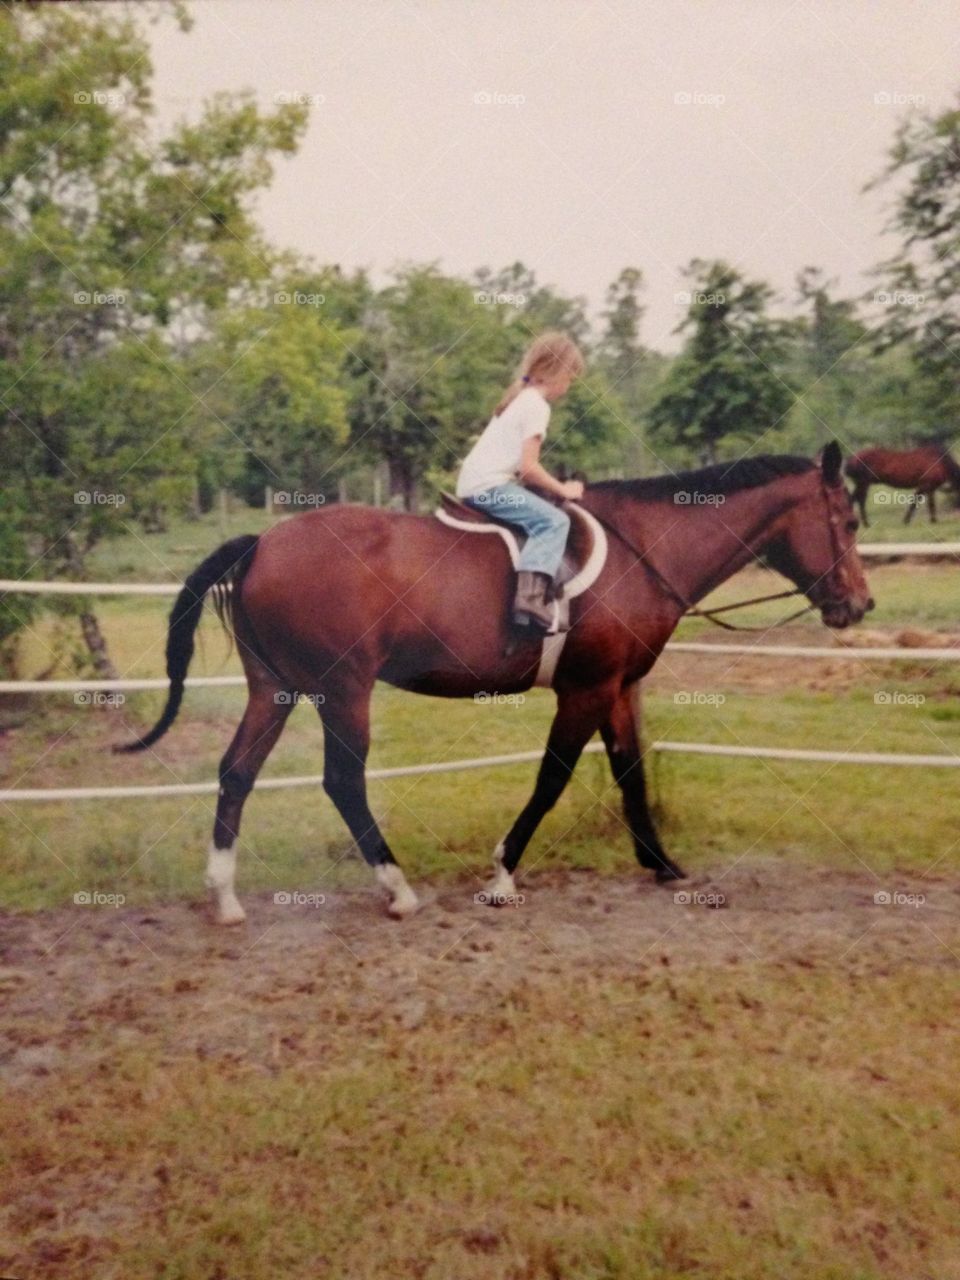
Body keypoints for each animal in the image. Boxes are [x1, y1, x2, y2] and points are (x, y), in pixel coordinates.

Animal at [116, 444, 872, 924]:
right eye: (849, 520)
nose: (860, 605)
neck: (642, 550)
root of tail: (263, 543)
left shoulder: (615, 687)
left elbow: (629, 772)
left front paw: (661, 862)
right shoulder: (586, 689)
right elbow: (553, 777)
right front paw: (505, 873)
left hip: (274, 689)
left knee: (236, 772)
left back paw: (225, 898)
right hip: (344, 690)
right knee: (342, 782)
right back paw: (397, 889)